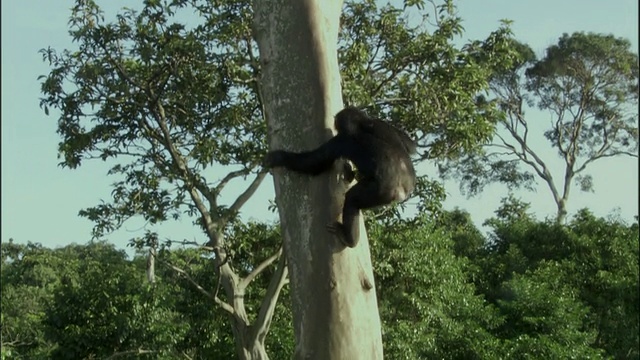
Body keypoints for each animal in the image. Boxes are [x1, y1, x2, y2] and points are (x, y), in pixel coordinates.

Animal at [264, 107, 418, 248]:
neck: (363, 125)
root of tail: (403, 192)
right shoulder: (382, 124)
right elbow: (410, 144)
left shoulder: (339, 142)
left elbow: (314, 162)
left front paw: (278, 157)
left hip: (380, 193)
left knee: (352, 199)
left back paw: (348, 238)